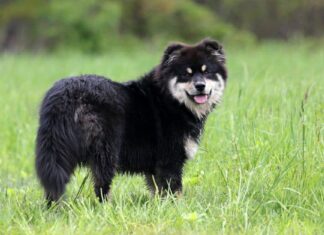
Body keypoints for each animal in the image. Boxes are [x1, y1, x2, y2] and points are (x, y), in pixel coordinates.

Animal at [35, 37, 227, 203]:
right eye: (186, 74)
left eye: (207, 72)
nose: (200, 86)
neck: (170, 100)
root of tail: (65, 95)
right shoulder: (170, 159)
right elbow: (175, 190)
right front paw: (177, 208)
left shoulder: (155, 168)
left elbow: (158, 191)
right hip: (106, 150)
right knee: (101, 186)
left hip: (57, 150)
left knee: (54, 183)